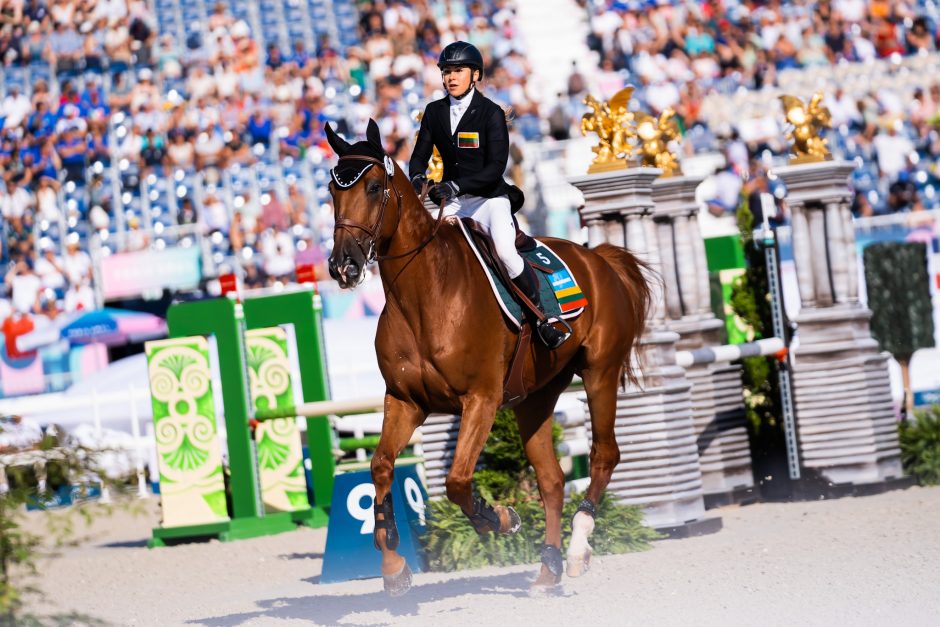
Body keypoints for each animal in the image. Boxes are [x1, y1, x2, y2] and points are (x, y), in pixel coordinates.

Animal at [326, 121, 648, 592]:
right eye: (332, 190)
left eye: (372, 187)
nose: (343, 266)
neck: (424, 295)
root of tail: (598, 258)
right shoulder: (405, 401)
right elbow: (381, 466)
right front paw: (393, 565)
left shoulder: (481, 399)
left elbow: (458, 481)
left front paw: (500, 518)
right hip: (536, 397)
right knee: (552, 480)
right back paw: (548, 567)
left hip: (599, 373)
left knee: (603, 456)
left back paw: (576, 550)